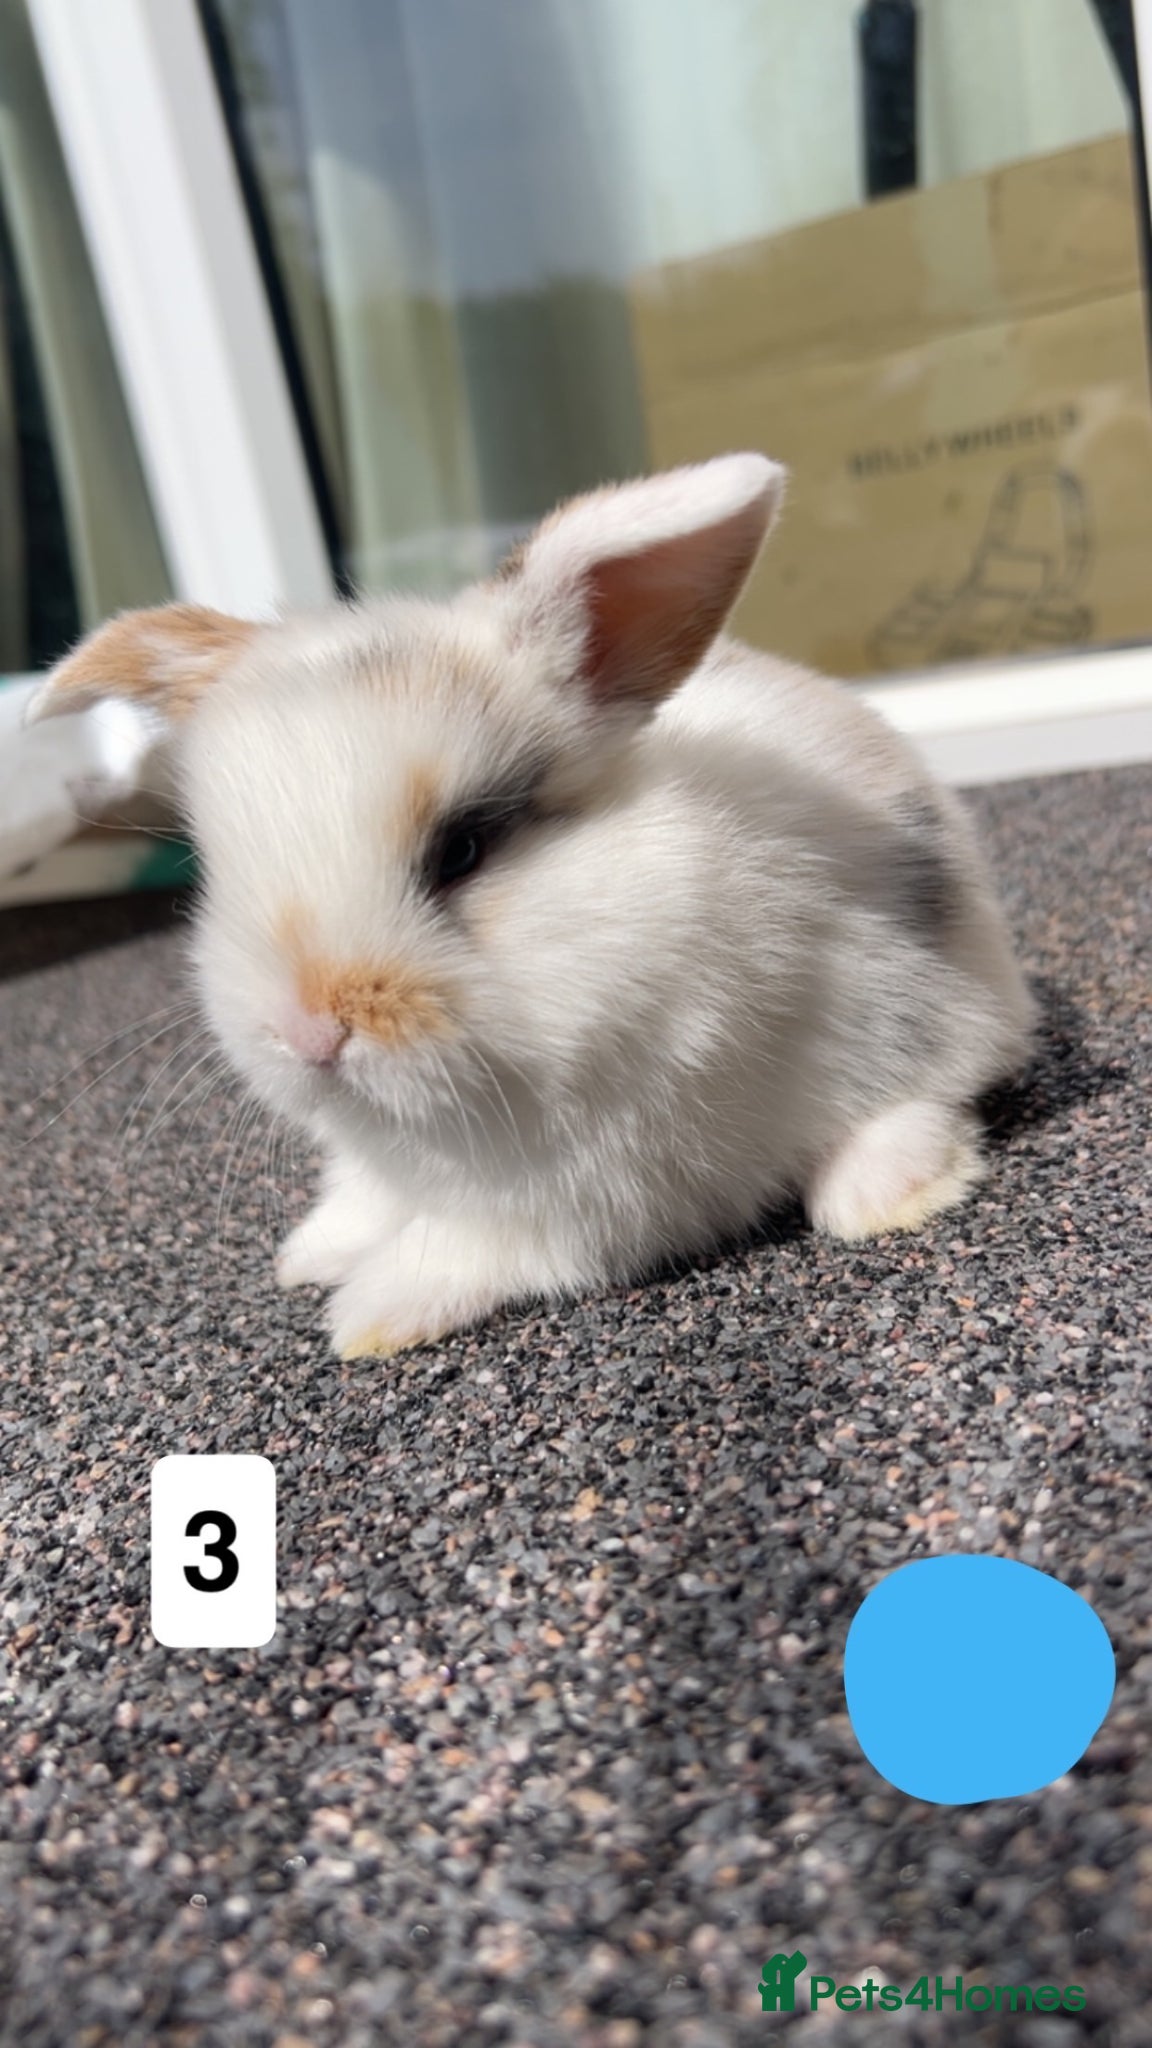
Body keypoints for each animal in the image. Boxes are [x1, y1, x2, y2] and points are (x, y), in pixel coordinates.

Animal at [28, 454, 1034, 1358]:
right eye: (215, 867)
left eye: (463, 849)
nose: (309, 1033)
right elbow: (371, 1199)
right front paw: (311, 1253)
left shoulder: (606, 1189)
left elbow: (471, 1248)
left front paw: (366, 1316)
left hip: (921, 1010)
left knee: (939, 1090)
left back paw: (882, 1192)